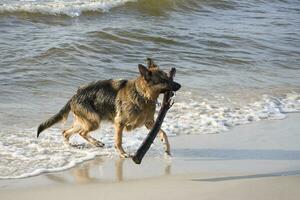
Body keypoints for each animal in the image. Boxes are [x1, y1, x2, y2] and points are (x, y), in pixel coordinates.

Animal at [37, 57, 180, 158]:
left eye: (169, 77)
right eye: (164, 81)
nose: (180, 86)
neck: (142, 94)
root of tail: (75, 95)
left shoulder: (149, 124)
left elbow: (163, 132)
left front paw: (166, 147)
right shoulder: (119, 123)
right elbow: (118, 141)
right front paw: (122, 153)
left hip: (87, 121)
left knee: (67, 132)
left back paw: (76, 145)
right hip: (94, 121)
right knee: (81, 132)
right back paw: (94, 143)